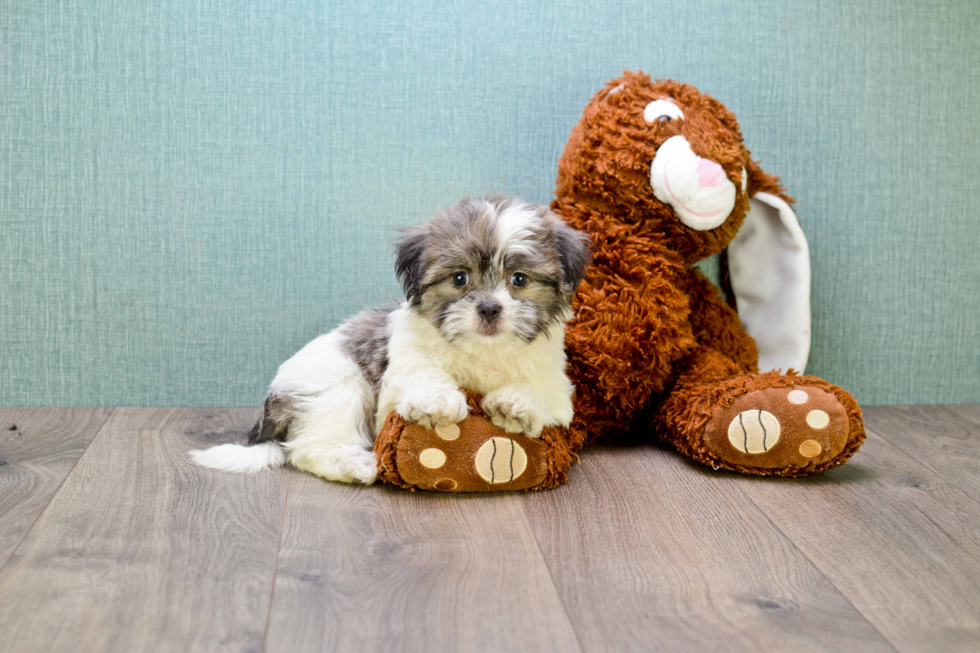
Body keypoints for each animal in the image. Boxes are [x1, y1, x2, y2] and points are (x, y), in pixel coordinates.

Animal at [190, 194, 588, 484]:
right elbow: (422, 374)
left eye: (519, 279)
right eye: (460, 278)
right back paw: (356, 464)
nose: (489, 308)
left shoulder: (556, 384)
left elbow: (541, 392)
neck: (482, 352)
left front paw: (513, 405)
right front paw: (438, 402)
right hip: (340, 388)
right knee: (307, 448)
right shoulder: (402, 371)